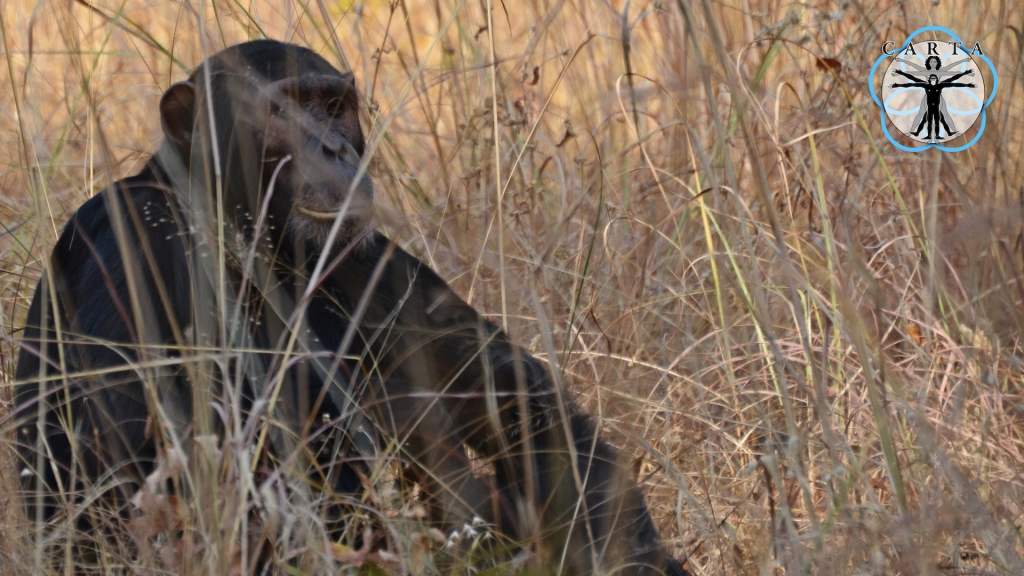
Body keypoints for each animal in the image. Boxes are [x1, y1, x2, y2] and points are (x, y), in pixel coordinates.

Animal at [12, 40, 684, 573]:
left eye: (334, 105)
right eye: (284, 109)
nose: (334, 147)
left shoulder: (368, 257)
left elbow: (516, 397)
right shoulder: (125, 245)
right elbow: (120, 477)